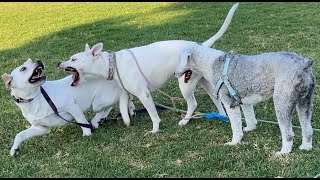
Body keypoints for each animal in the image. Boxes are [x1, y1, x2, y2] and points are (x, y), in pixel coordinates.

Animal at [1, 58, 133, 156]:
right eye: (23, 68)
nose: (38, 60)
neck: (35, 98)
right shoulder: (41, 128)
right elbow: (20, 135)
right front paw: (14, 149)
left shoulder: (72, 107)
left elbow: (82, 122)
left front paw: (87, 134)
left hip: (98, 102)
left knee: (108, 107)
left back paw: (96, 120)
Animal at [176, 44, 316, 155]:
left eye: (179, 59)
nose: (174, 73)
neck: (211, 62)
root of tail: (304, 64)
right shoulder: (244, 101)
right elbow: (250, 117)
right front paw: (250, 128)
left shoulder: (230, 104)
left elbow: (235, 126)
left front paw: (234, 142)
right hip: (305, 102)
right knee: (308, 130)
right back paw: (306, 147)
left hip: (282, 103)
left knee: (288, 134)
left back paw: (283, 152)